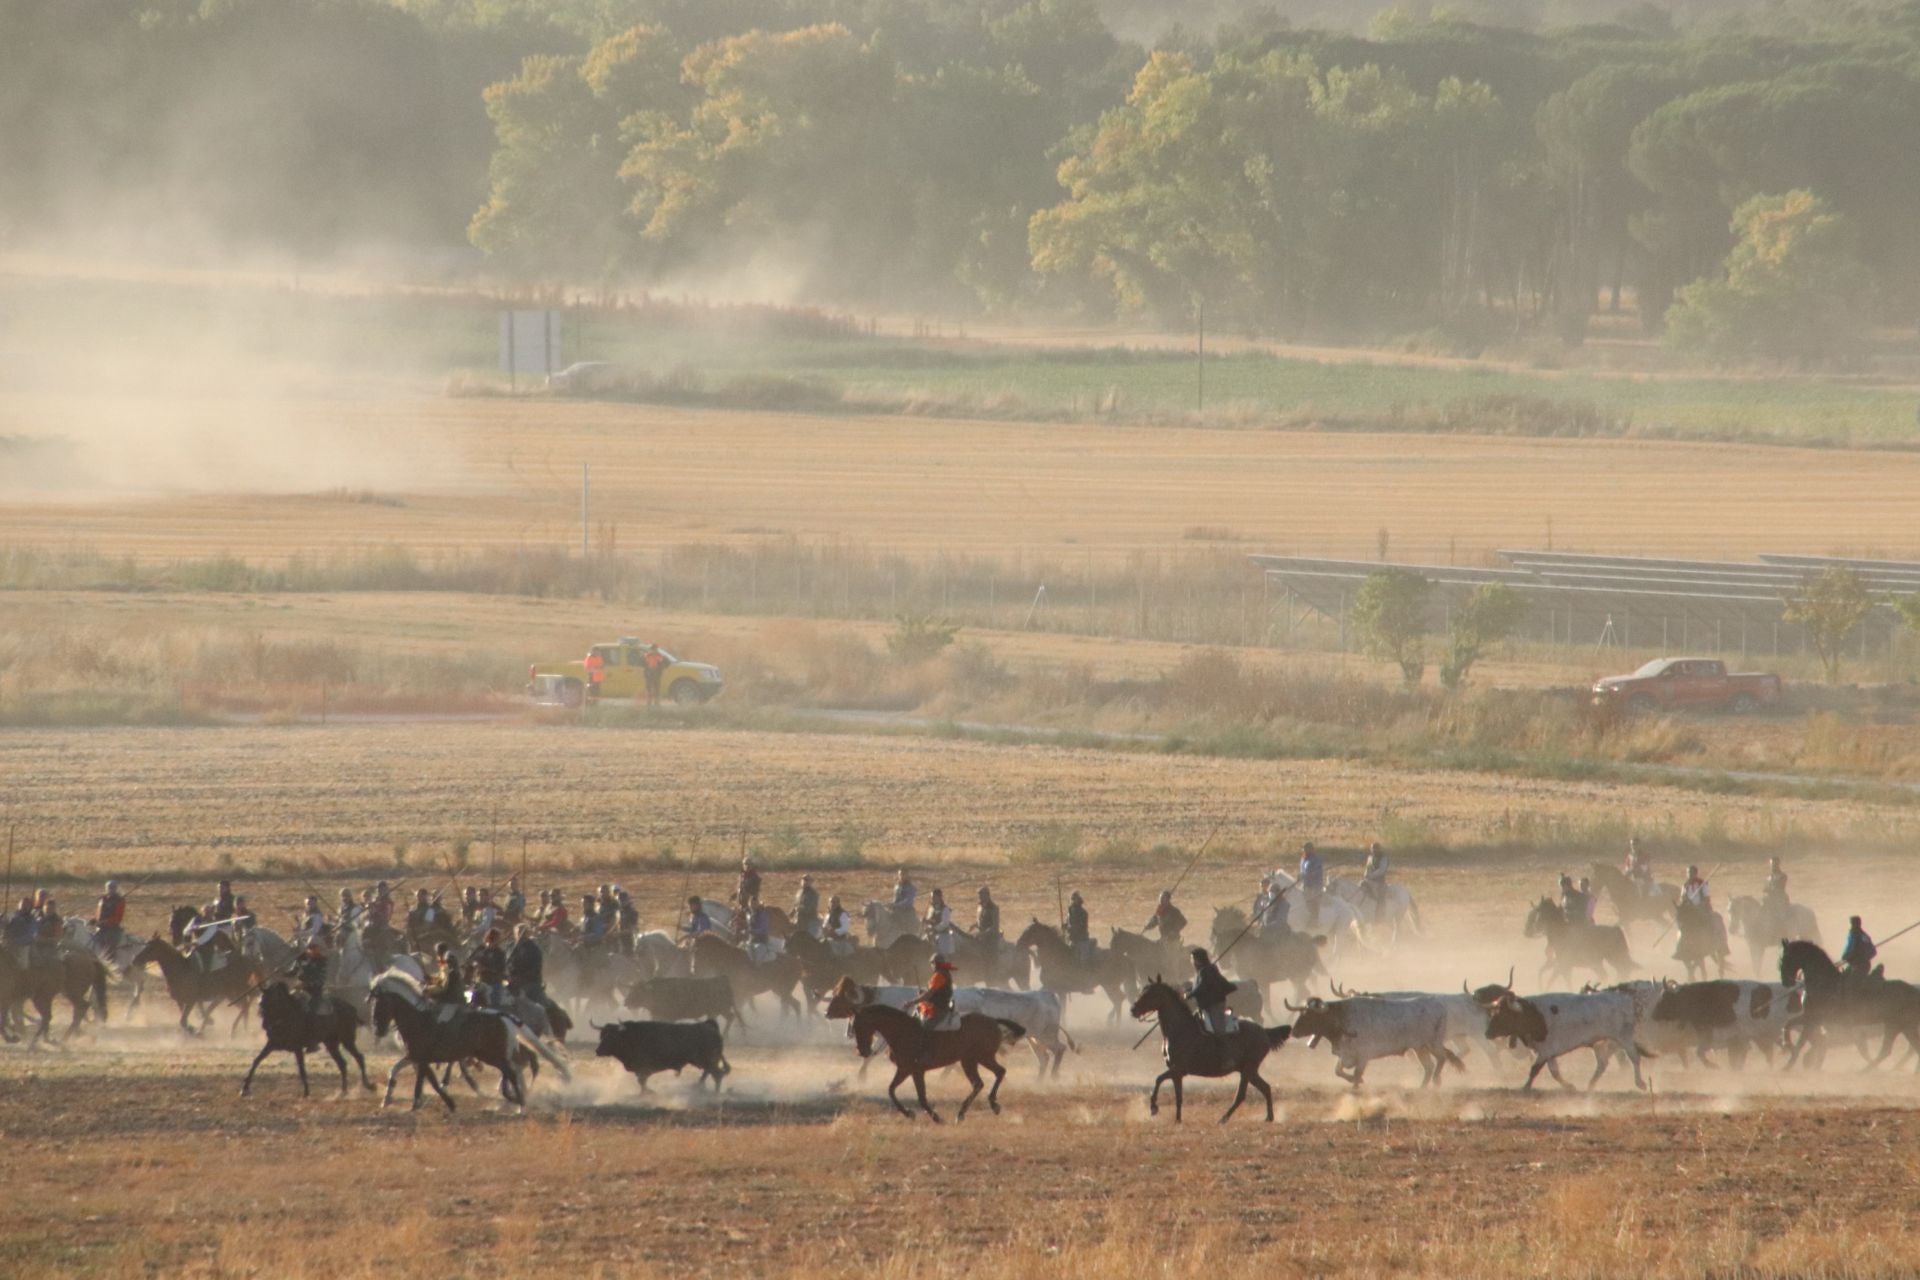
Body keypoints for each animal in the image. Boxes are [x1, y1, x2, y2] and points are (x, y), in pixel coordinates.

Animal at [240, 990, 374, 1097]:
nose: (265, 1025)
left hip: (347, 1040)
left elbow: (302, 1069)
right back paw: (343, 1091)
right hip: (331, 1044)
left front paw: (306, 1092)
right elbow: (257, 1060)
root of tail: (352, 1008)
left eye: (269, 1003)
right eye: (261, 1003)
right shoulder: (272, 1045)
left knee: (359, 1057)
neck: (287, 1015)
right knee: (342, 1063)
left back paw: (368, 1085)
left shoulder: (297, 1048)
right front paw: (244, 1089)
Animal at [366, 971, 560, 1113]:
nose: (378, 1029)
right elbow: (401, 1072)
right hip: (494, 1056)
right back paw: (515, 1099)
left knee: (513, 1073)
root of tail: (504, 1016)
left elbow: (427, 1081)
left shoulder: (421, 1058)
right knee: (513, 1071)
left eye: (381, 1003)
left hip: (493, 1056)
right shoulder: (416, 1057)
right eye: (373, 1004)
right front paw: (392, 1100)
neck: (418, 1020)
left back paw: (519, 1103)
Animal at [852, 997, 1029, 1120]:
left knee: (995, 1074)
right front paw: (909, 1113)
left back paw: (986, 1106)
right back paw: (967, 1111)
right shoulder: (904, 1069)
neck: (902, 1031)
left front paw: (936, 1117)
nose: (862, 1051)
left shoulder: (917, 1071)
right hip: (971, 1060)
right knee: (982, 1081)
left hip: (981, 1058)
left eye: (859, 1025)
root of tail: (992, 1020)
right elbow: (891, 1090)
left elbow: (922, 1097)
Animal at [1121, 982, 1290, 1120]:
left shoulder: (1178, 1069)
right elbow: (1178, 1096)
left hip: (1248, 1069)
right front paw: (1177, 1120)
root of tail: (1264, 1032)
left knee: (1241, 1095)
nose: (1133, 1010)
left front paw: (1154, 1107)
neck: (1178, 1030)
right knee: (1265, 1088)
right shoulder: (1177, 1073)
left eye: (1150, 994)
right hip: (1248, 1071)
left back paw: (1223, 1119)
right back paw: (1268, 1117)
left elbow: (1158, 1079)